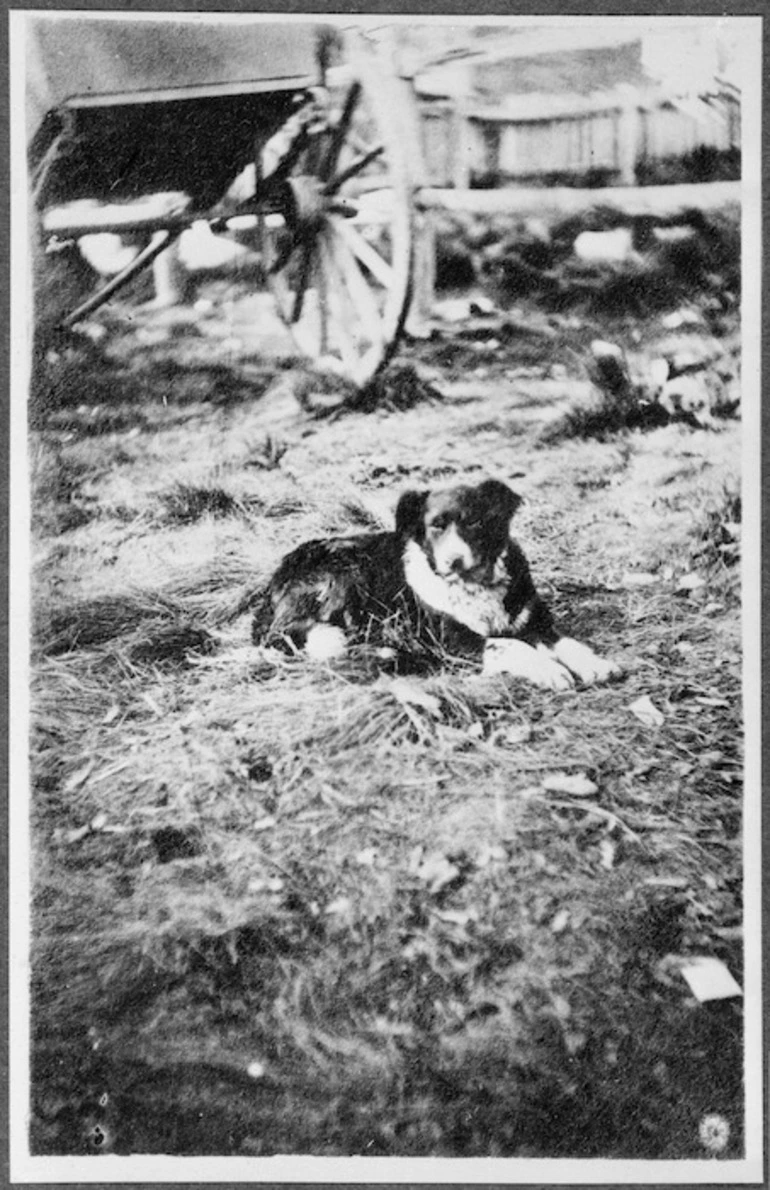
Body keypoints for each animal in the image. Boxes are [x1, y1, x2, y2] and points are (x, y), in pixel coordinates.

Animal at [249, 480, 623, 694]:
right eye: (436, 526)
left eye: (474, 522)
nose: (453, 561)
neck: (474, 586)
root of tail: (272, 584)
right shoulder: (454, 640)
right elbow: (510, 645)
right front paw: (548, 669)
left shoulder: (534, 622)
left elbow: (565, 642)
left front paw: (593, 663)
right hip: (343, 574)